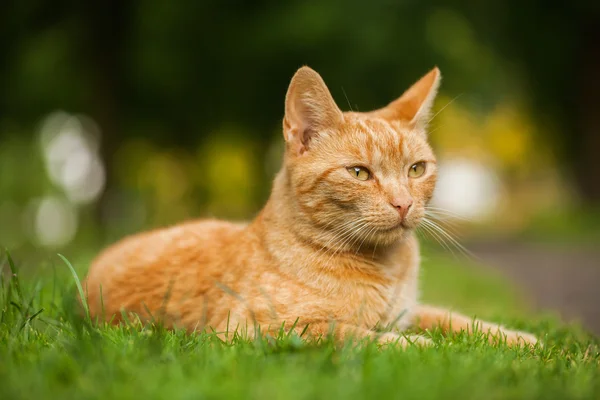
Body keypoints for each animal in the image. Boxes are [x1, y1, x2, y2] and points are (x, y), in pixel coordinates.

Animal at [83, 66, 540, 346]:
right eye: (359, 173)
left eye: (416, 169)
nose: (404, 203)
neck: (388, 268)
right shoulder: (258, 330)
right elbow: (359, 336)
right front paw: (420, 347)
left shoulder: (410, 311)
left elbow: (457, 321)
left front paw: (522, 342)